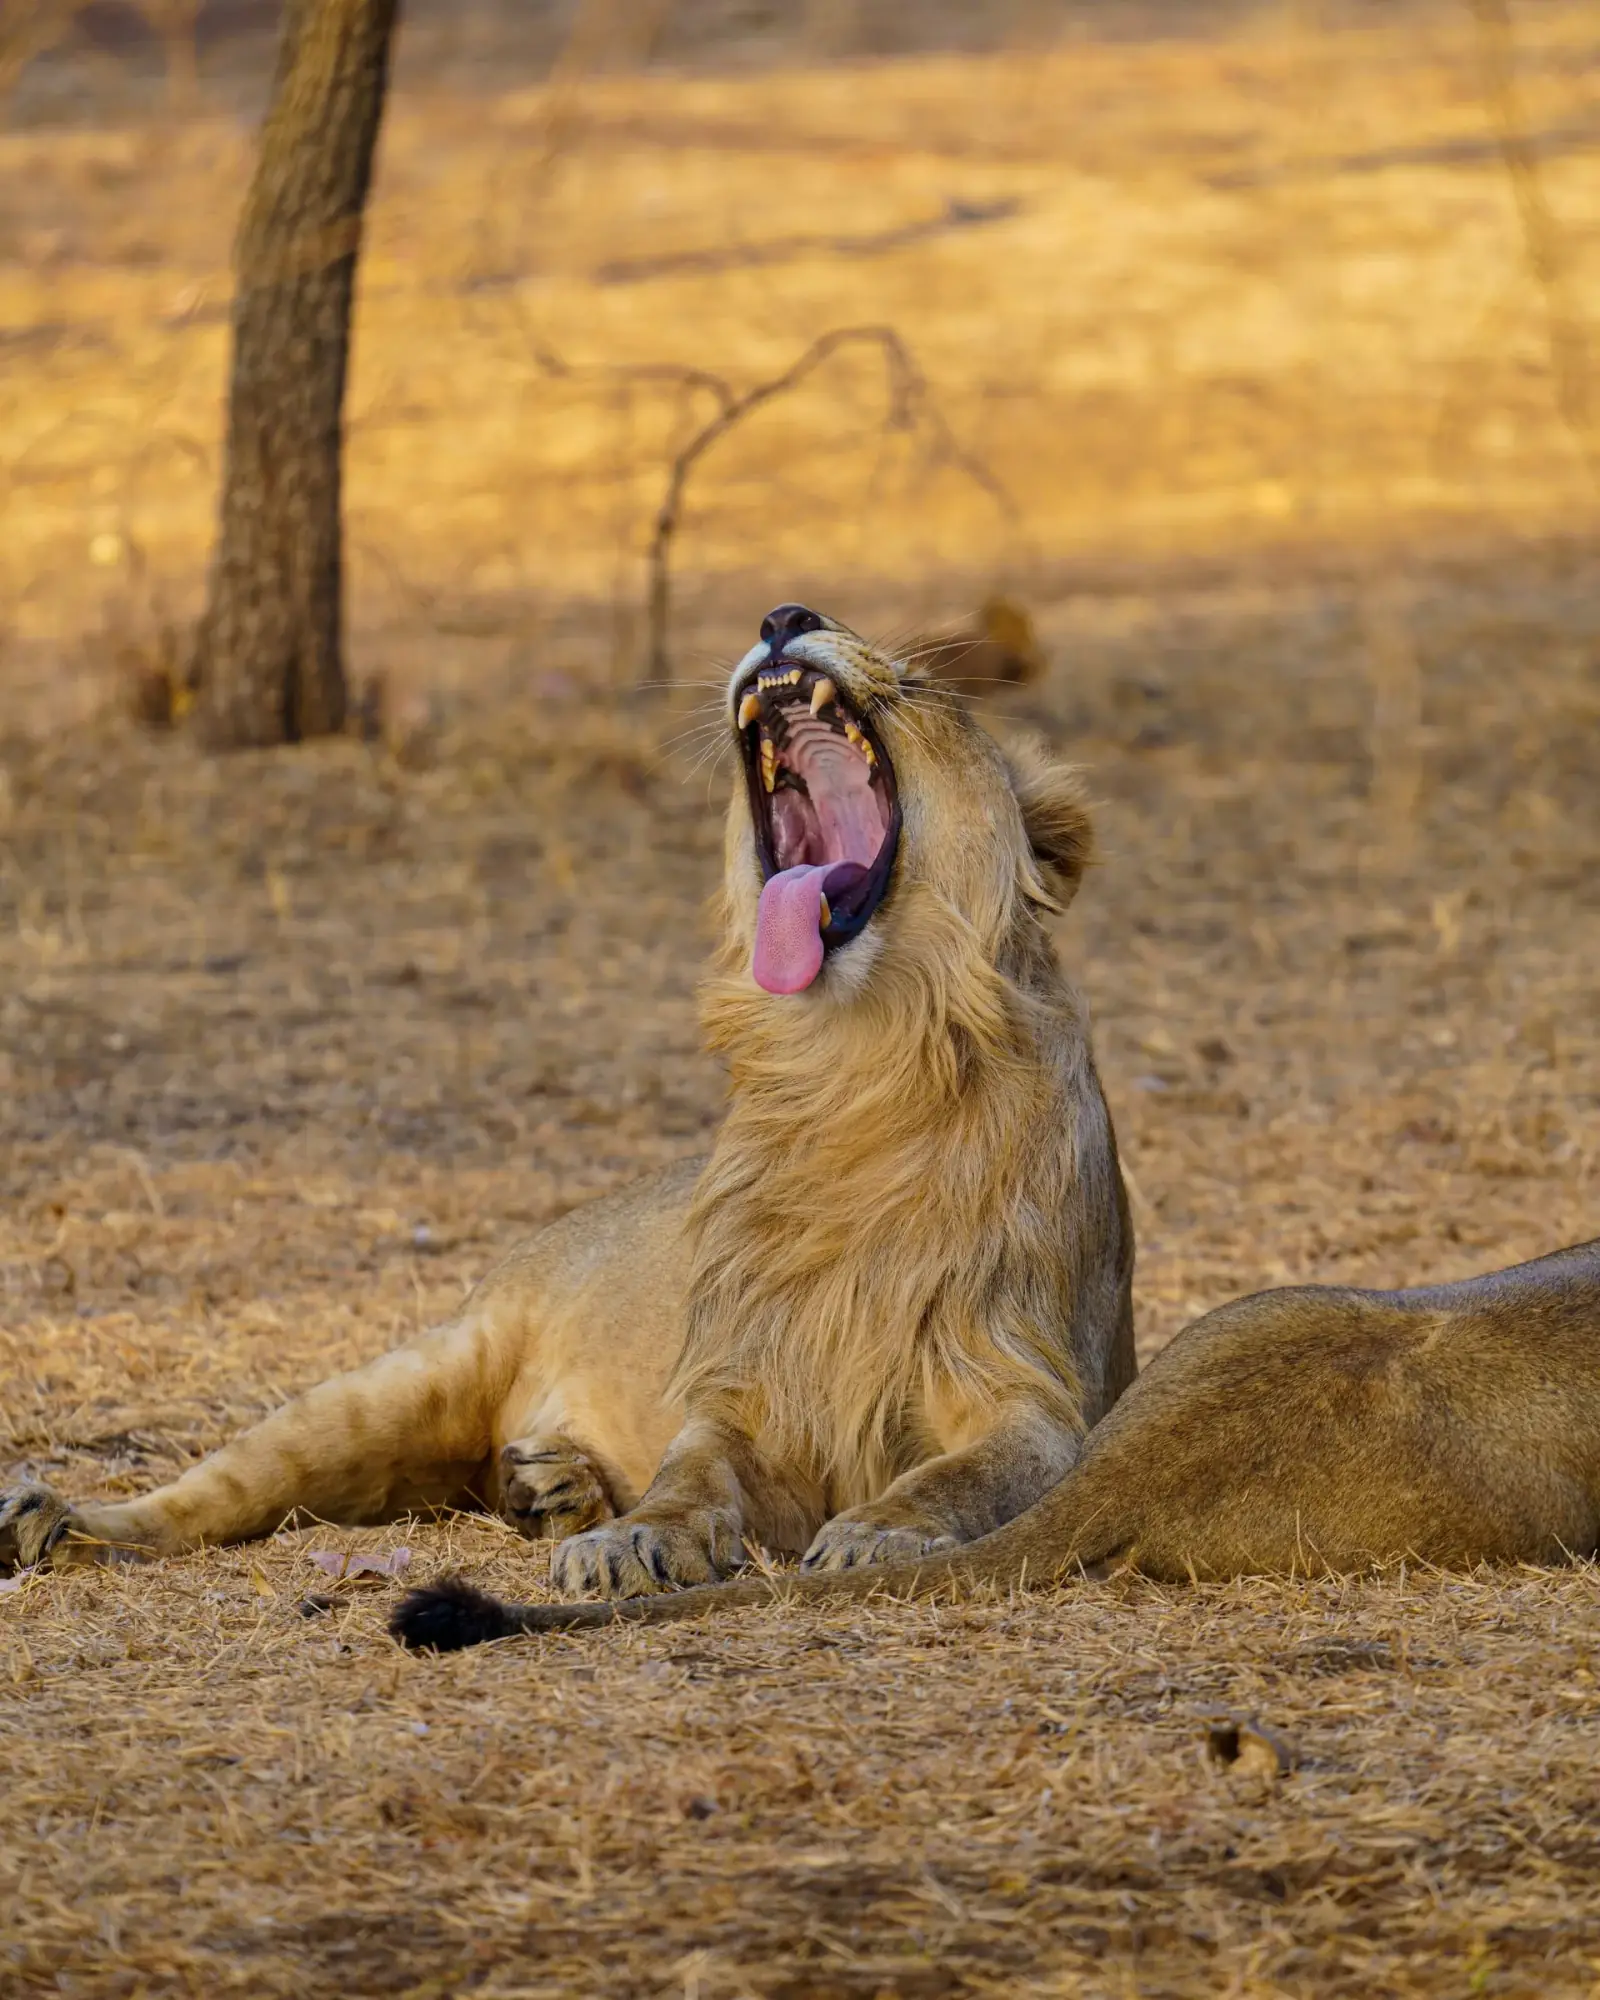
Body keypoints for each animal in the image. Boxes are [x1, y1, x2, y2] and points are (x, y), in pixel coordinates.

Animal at [0, 604, 1136, 1590]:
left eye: (922, 683)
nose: (783, 615)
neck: (855, 1064)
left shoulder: (1037, 1390)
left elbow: (968, 1471)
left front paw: (881, 1530)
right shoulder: (742, 1392)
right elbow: (689, 1469)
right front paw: (637, 1540)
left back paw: (551, 1486)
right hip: (394, 1386)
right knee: (209, 1492)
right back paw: (57, 1520)